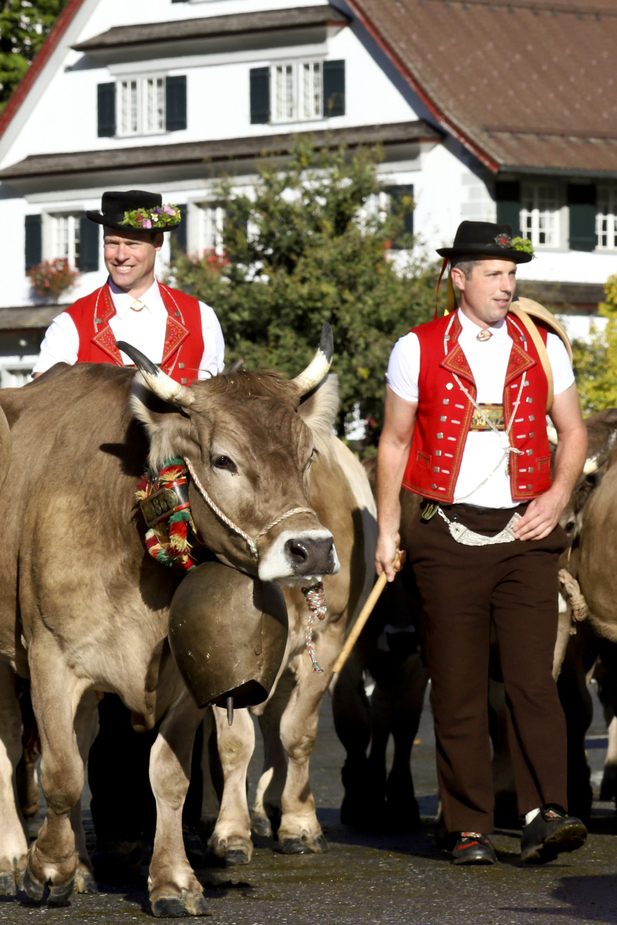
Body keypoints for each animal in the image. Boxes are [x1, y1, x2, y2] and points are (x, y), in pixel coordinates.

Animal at [0, 328, 340, 912]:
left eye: (309, 454)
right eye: (224, 460)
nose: (313, 549)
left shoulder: (180, 679)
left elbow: (168, 776)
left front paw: (173, 880)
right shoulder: (49, 658)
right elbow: (62, 773)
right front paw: (46, 868)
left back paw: (84, 866)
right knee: (9, 740)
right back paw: (12, 857)